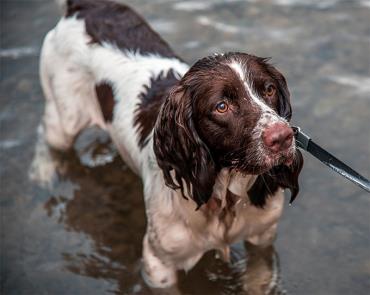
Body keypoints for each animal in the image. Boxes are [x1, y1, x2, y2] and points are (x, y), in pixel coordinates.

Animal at [39, 0, 302, 290]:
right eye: (221, 106)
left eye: (269, 90)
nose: (283, 137)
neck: (223, 199)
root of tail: (84, 6)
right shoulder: (158, 263)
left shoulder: (262, 238)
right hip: (65, 118)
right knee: (48, 139)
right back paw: (44, 174)